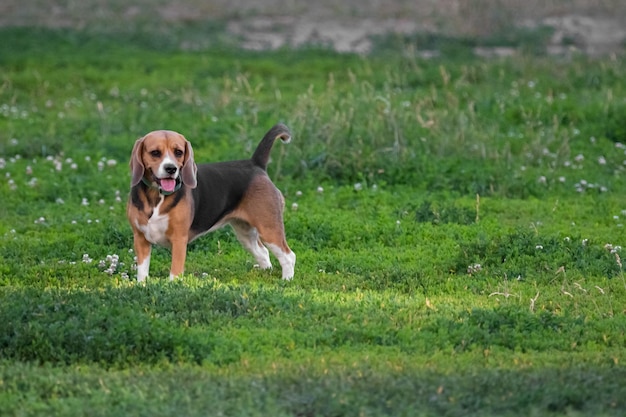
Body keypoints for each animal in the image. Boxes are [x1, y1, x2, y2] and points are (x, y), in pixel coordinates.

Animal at [127, 122, 294, 282]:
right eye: (155, 152)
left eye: (178, 152)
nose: (171, 168)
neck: (157, 195)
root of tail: (255, 164)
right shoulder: (140, 238)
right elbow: (142, 271)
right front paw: (142, 286)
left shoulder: (179, 239)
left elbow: (175, 273)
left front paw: (172, 287)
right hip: (245, 232)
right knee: (263, 252)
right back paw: (266, 273)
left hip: (269, 228)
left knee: (288, 256)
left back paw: (286, 281)